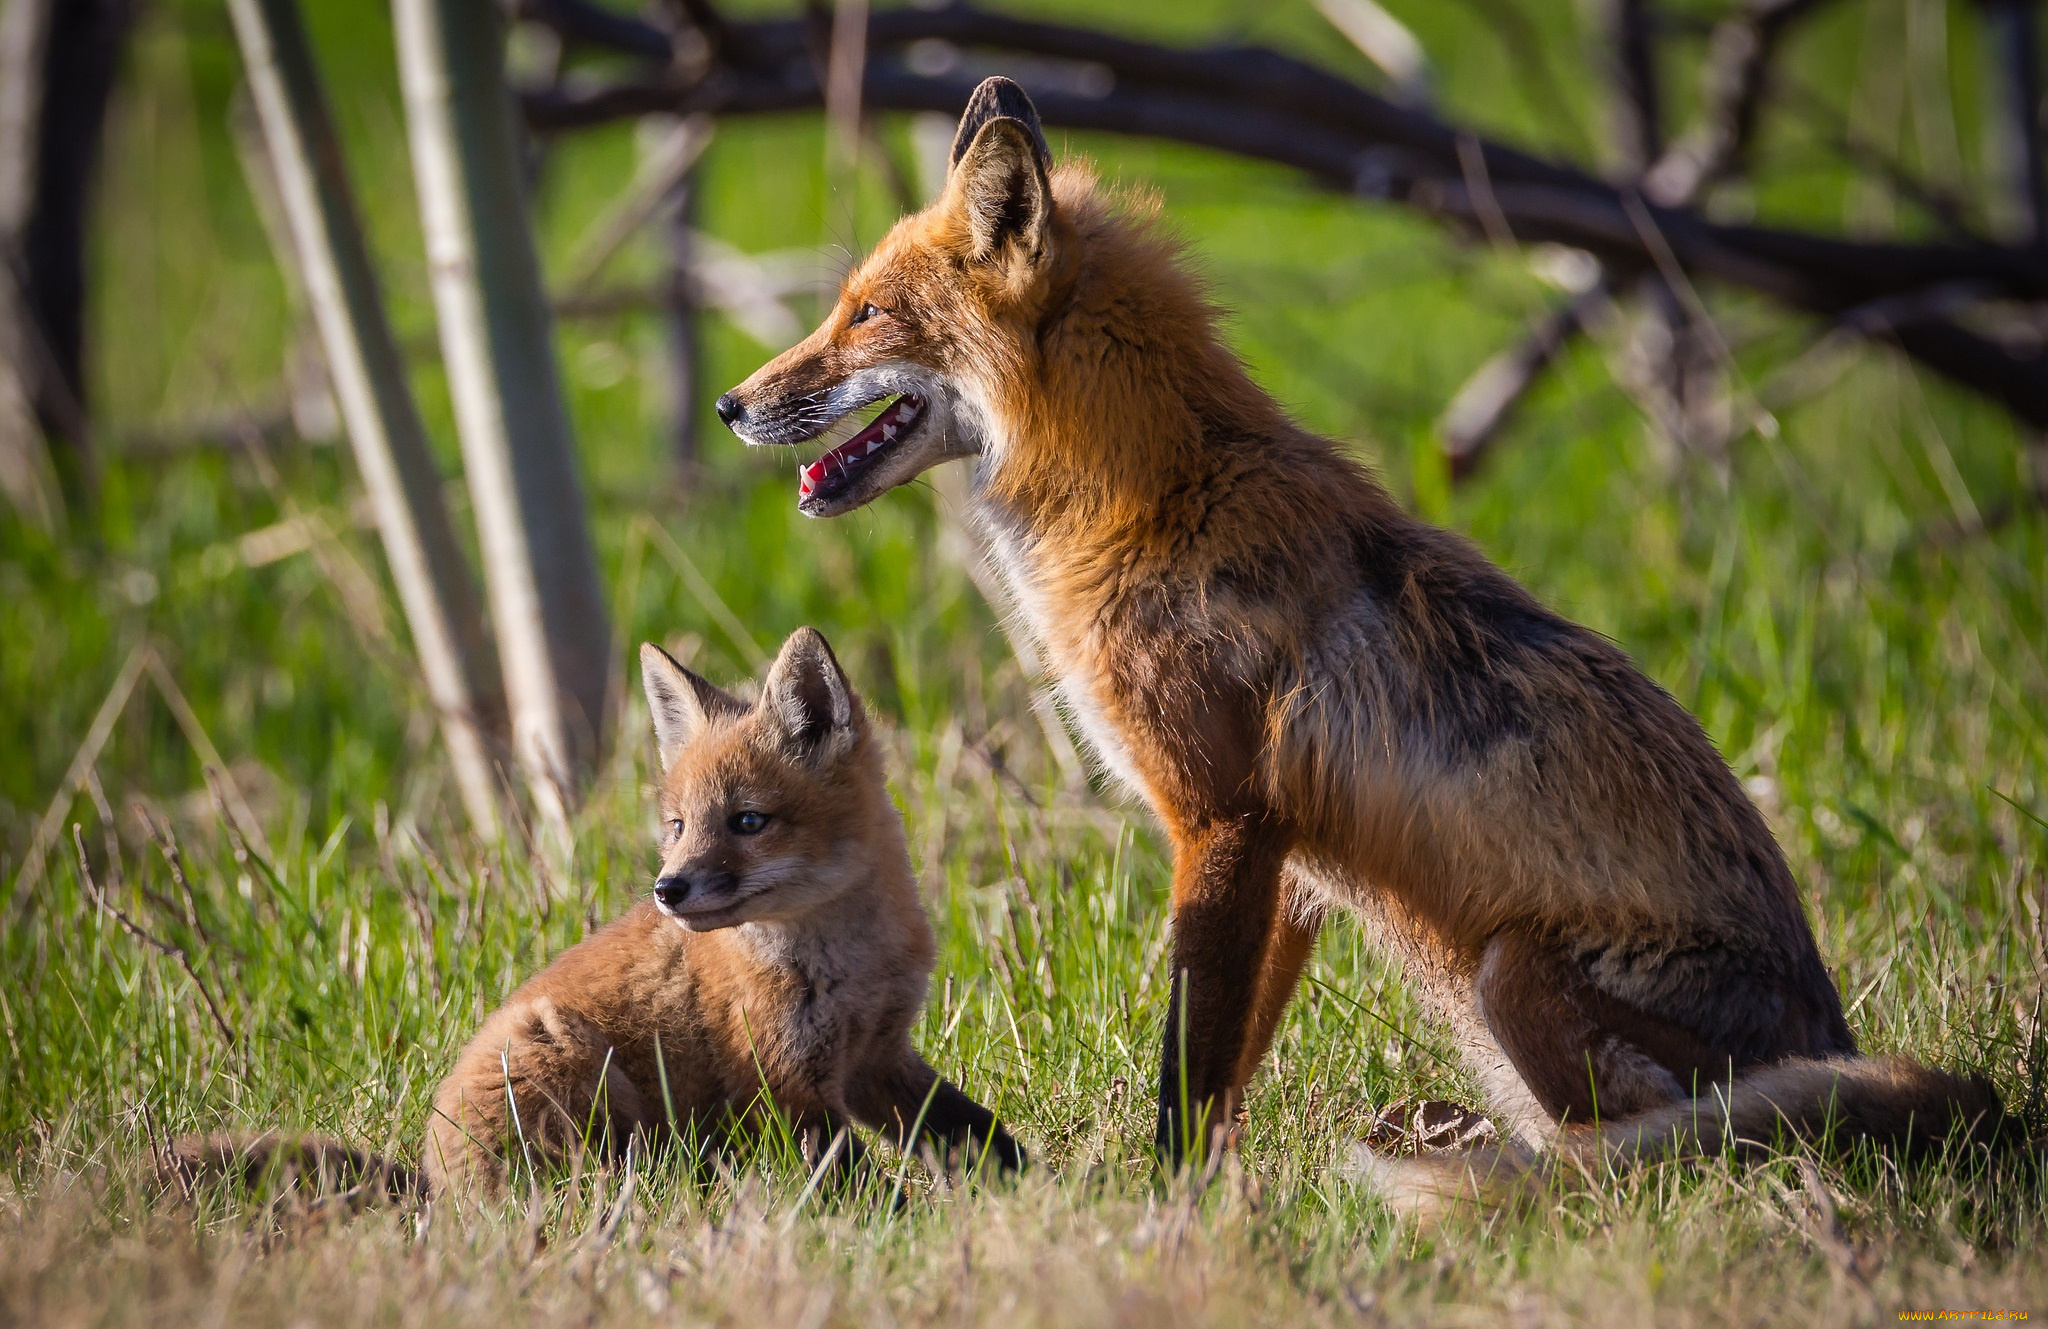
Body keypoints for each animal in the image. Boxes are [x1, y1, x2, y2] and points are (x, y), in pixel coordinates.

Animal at [180, 626, 1024, 1195]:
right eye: (678, 824)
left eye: (748, 820)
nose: (668, 889)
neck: (844, 964)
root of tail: (434, 1192)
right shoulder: (785, 1085)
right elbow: (860, 1185)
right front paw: (907, 1227)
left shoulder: (878, 1058)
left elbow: (978, 1132)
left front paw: (1039, 1192)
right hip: (576, 1063)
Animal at [716, 75, 1998, 1212]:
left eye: (863, 314)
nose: (731, 405)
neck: (1154, 500)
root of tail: (1839, 1038)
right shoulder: (1281, 861)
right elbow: (1226, 1069)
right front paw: (1216, 1200)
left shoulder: (1219, 817)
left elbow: (1185, 1067)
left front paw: (1161, 1210)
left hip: (1512, 973)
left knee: (1663, 1153)